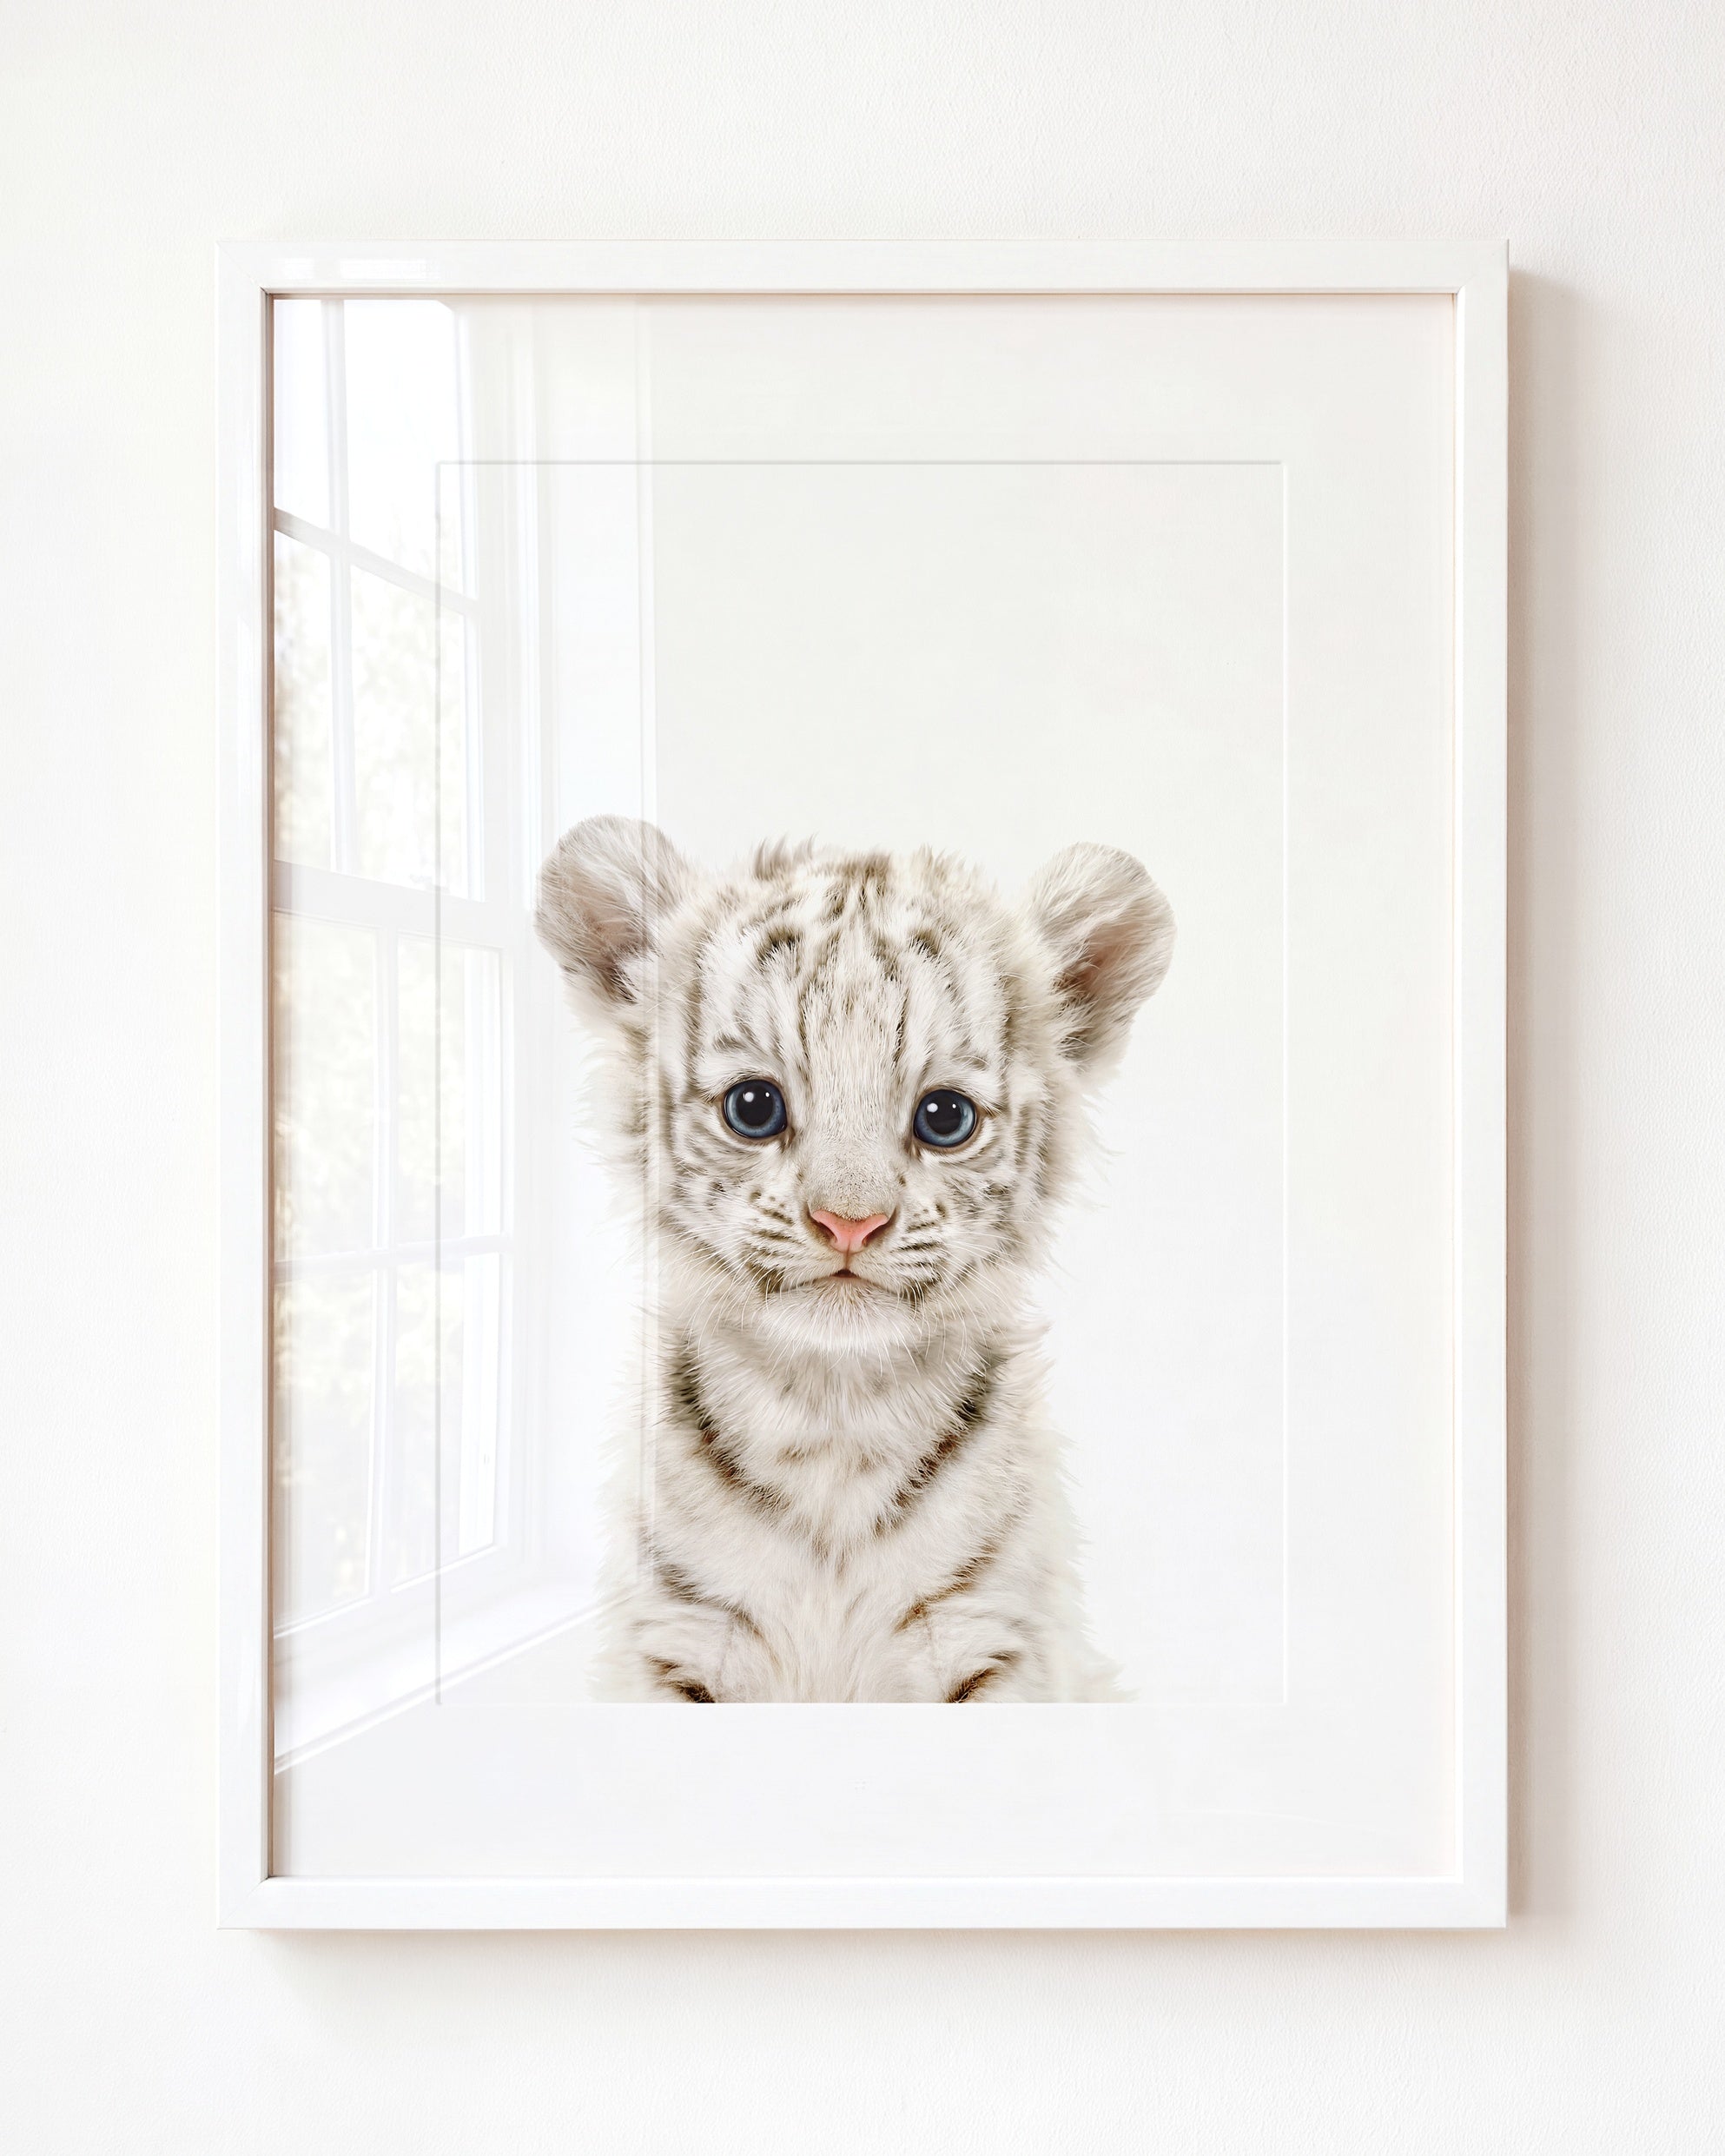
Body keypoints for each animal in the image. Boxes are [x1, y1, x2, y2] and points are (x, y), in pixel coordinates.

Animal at [535, 816, 1175, 1701]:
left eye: (945, 1118)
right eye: (753, 1107)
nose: (849, 1223)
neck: (831, 1417)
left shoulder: (992, 1640)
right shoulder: (677, 1640)